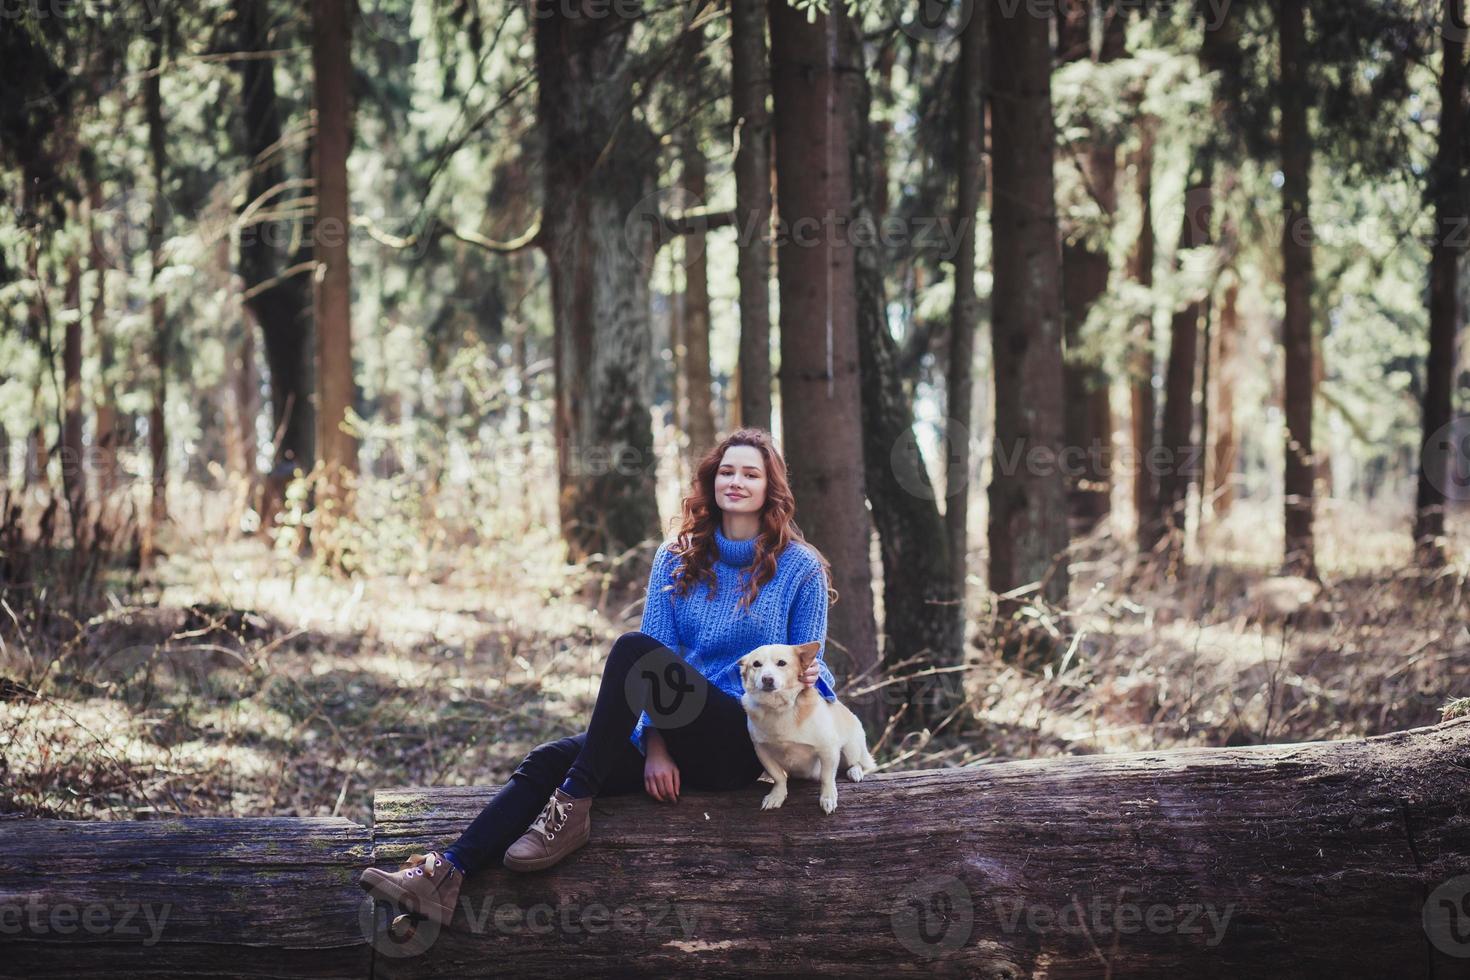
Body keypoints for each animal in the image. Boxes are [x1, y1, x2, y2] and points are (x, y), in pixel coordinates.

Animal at [735, 640, 870, 816]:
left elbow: (827, 777)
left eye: (781, 663)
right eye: (756, 664)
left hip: (851, 748)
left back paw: (855, 771)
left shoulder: (828, 750)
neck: (778, 707)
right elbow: (779, 777)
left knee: (856, 762)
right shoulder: (762, 752)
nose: (767, 679)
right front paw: (777, 796)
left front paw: (828, 798)